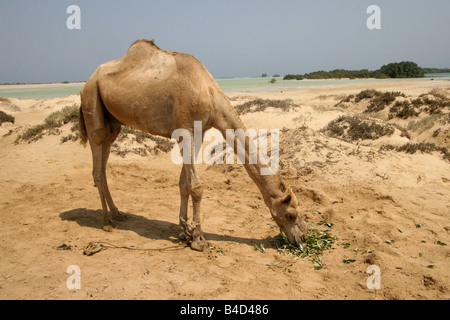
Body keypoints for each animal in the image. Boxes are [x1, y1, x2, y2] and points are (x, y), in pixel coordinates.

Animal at [80, 38, 306, 251]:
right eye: (291, 215)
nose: (302, 239)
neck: (209, 94)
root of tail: (87, 82)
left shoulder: (198, 132)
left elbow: (184, 183)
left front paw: (183, 231)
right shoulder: (185, 129)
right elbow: (196, 186)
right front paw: (198, 239)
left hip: (113, 124)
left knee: (104, 163)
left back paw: (117, 213)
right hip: (92, 102)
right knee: (97, 165)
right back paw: (106, 221)